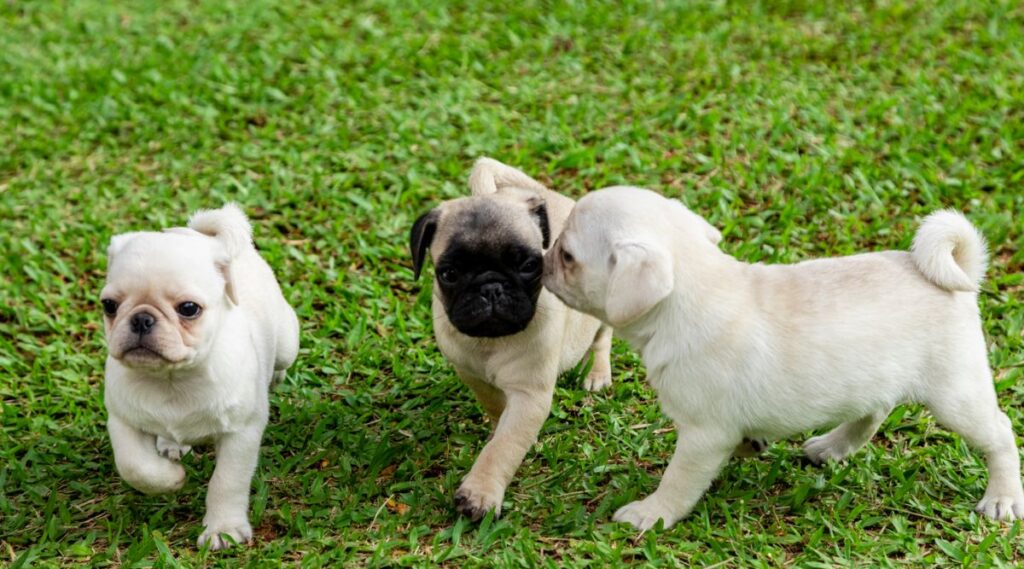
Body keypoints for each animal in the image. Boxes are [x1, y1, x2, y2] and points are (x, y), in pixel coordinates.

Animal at [100, 203, 299, 548]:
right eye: (109, 306)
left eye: (189, 309)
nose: (141, 319)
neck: (171, 379)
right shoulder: (122, 419)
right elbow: (135, 466)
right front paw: (170, 479)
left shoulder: (241, 432)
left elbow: (226, 482)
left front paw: (223, 529)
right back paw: (170, 444)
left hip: (288, 341)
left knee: (283, 359)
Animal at [409, 156, 614, 519]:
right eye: (449, 274)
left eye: (529, 265)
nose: (491, 287)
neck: (491, 341)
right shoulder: (471, 374)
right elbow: (495, 407)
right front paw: (497, 425)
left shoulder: (530, 395)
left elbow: (502, 449)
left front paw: (480, 493)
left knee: (603, 337)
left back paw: (597, 372)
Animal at [544, 189, 1024, 532]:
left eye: (568, 257)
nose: (542, 258)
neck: (691, 293)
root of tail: (957, 276)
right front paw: (752, 444)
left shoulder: (702, 436)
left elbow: (677, 482)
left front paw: (651, 514)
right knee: (872, 413)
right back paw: (831, 447)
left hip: (954, 395)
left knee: (999, 433)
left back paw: (1002, 498)